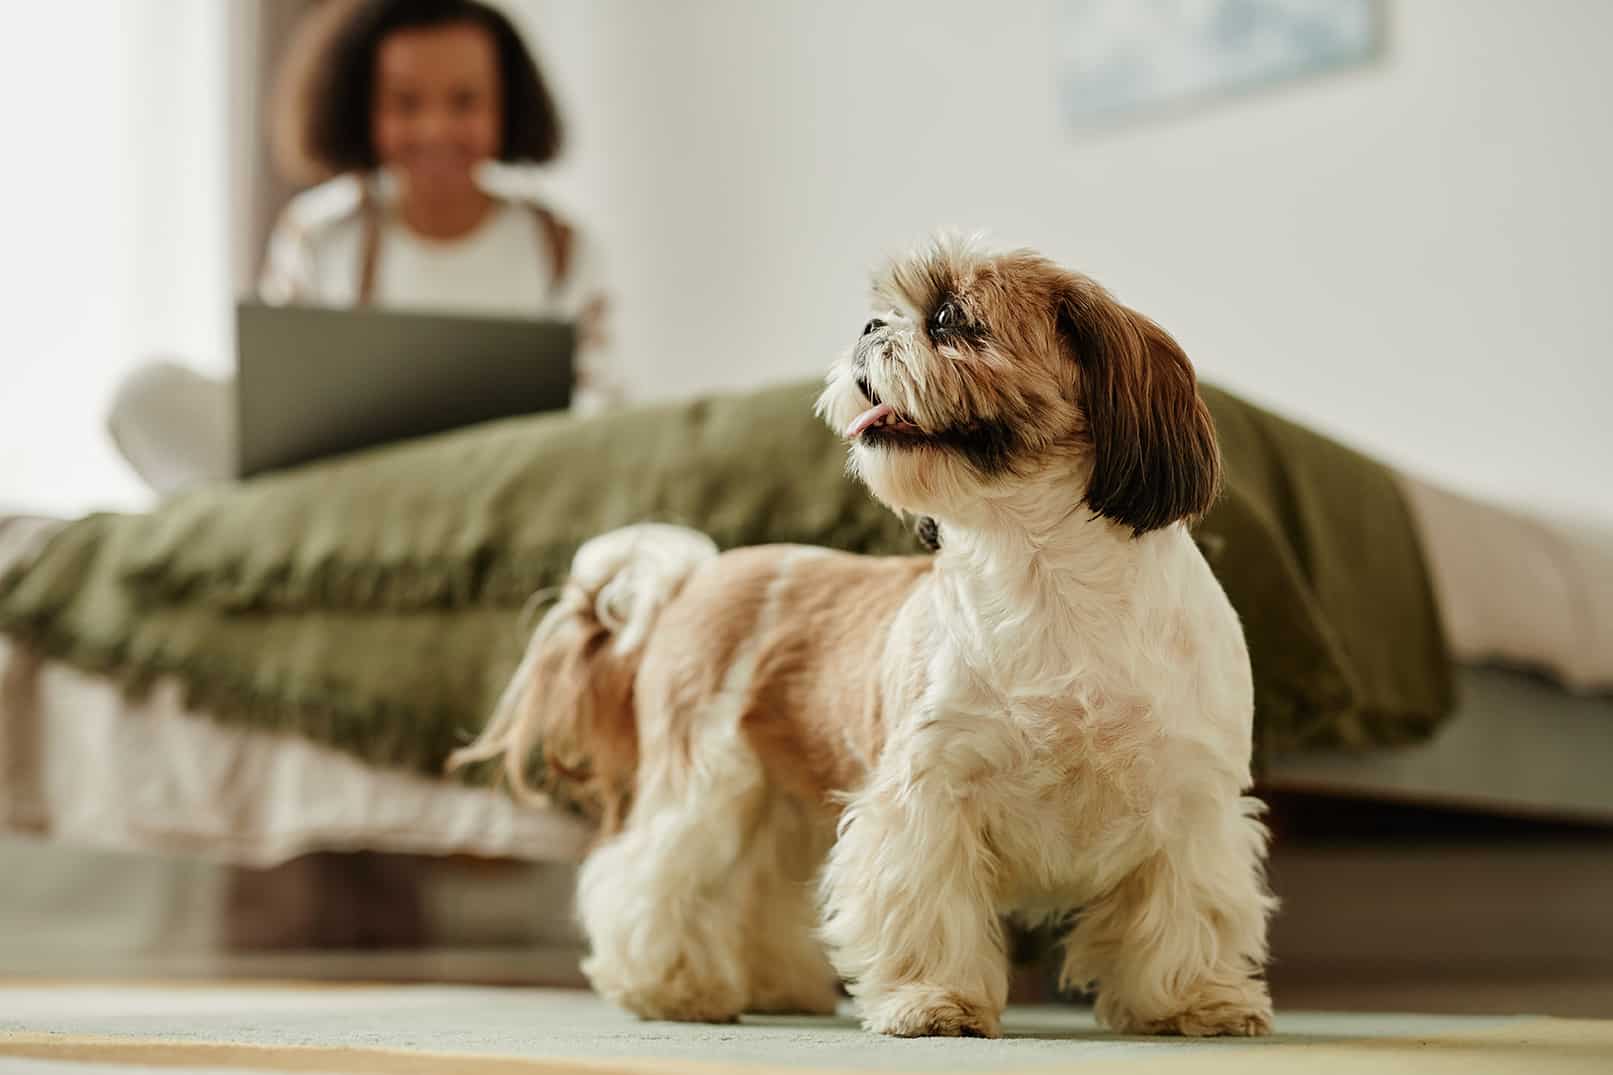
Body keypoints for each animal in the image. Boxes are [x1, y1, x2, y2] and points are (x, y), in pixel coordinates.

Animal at [451, 232, 1271, 1033]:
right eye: (890, 313)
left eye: (949, 318)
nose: (870, 328)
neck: (1045, 576)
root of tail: (699, 577)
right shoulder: (928, 796)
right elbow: (926, 904)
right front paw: (935, 1002)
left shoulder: (1192, 803)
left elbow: (1188, 911)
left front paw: (1193, 1002)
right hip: (708, 786)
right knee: (653, 878)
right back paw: (670, 988)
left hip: (782, 807)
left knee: (758, 892)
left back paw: (776, 987)